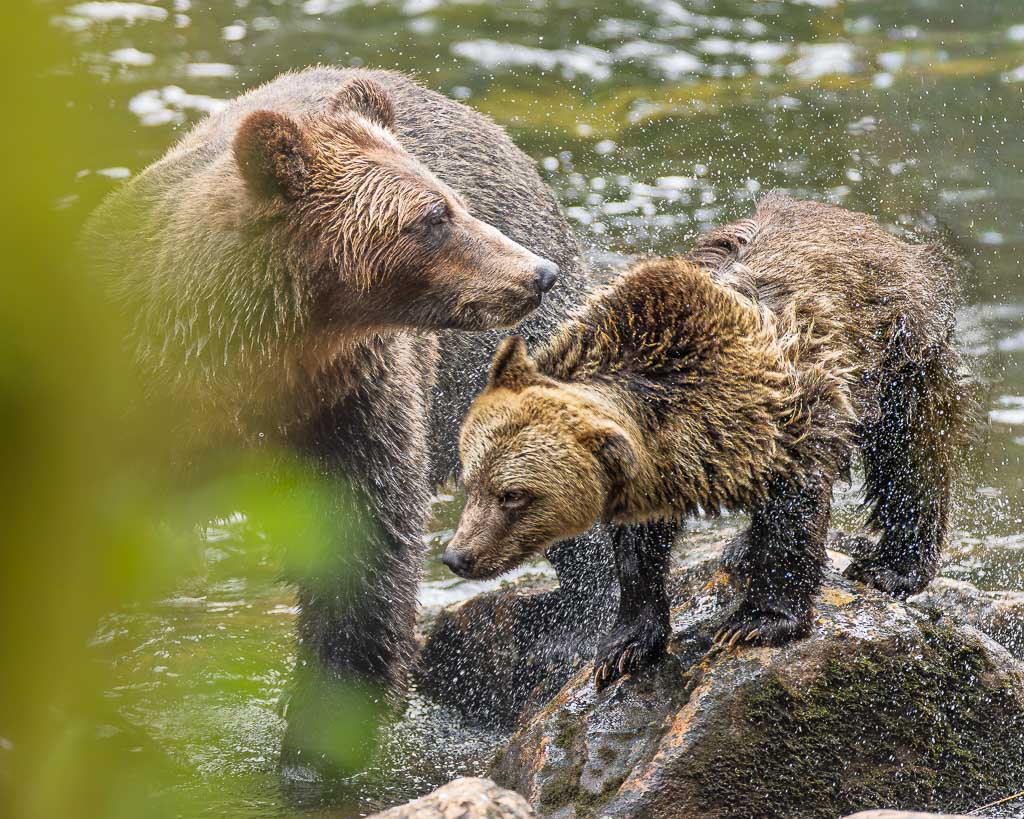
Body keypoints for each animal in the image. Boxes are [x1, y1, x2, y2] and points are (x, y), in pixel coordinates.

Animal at [83, 67, 605, 773]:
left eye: (451, 200)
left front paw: (321, 738)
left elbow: (362, 548)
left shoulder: (352, 400)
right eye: (433, 217)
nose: (534, 274)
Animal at [444, 194, 968, 690]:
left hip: (901, 353)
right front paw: (625, 645)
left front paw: (757, 621)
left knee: (910, 457)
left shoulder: (785, 409)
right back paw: (741, 546)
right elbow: (638, 551)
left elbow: (794, 511)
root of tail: (881, 232)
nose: (457, 556)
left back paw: (894, 565)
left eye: (513, 495)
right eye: (472, 482)